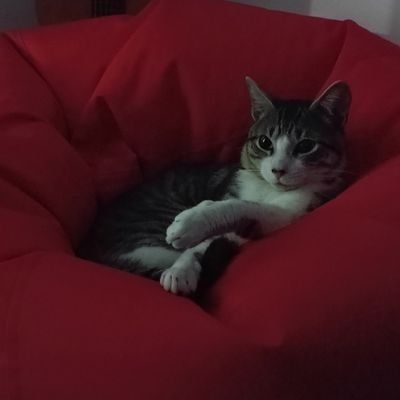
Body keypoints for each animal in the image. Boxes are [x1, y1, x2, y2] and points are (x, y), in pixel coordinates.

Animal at [78, 77, 351, 296]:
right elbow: (207, 233)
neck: (267, 189)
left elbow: (239, 207)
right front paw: (182, 268)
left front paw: (191, 226)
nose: (278, 170)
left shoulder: (291, 213)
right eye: (265, 142)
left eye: (305, 146)